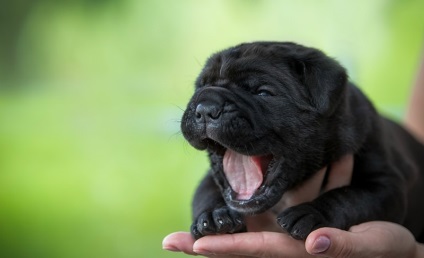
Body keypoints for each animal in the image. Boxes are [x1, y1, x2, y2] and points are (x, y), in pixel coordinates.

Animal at [180, 42, 424, 242]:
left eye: (262, 92)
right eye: (201, 87)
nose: (206, 107)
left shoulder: (387, 182)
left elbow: (351, 196)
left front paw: (313, 213)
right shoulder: (213, 179)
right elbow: (206, 191)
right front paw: (214, 214)